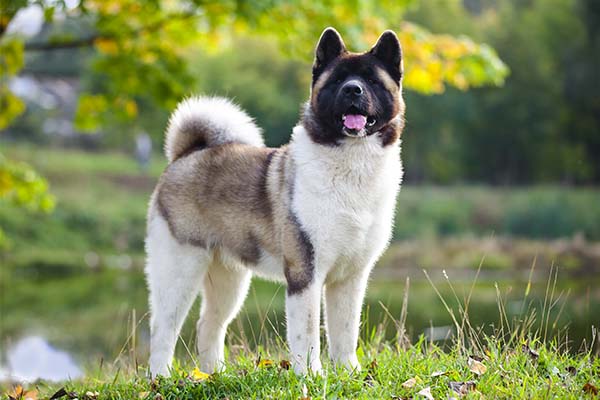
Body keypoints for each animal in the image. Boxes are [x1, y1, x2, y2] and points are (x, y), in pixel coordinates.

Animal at [145, 27, 406, 376]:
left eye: (372, 80)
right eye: (338, 80)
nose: (353, 89)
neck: (351, 163)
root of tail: (186, 155)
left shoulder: (351, 278)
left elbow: (345, 331)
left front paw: (349, 372)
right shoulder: (305, 273)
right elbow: (307, 333)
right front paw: (311, 375)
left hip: (229, 279)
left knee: (208, 325)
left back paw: (213, 375)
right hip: (179, 270)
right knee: (164, 329)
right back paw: (160, 378)